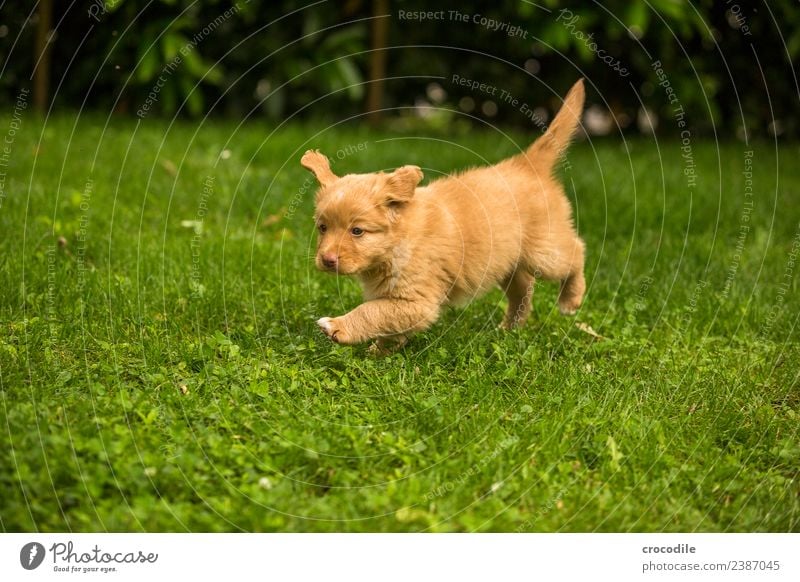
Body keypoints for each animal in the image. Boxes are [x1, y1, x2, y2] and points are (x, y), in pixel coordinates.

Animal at [304, 77, 584, 352]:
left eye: (357, 231)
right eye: (322, 228)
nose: (326, 260)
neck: (398, 242)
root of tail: (525, 163)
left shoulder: (416, 301)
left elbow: (372, 312)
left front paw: (337, 326)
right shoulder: (399, 300)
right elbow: (389, 326)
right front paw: (380, 353)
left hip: (544, 252)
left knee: (576, 251)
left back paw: (571, 299)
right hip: (506, 259)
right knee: (523, 287)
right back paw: (509, 328)